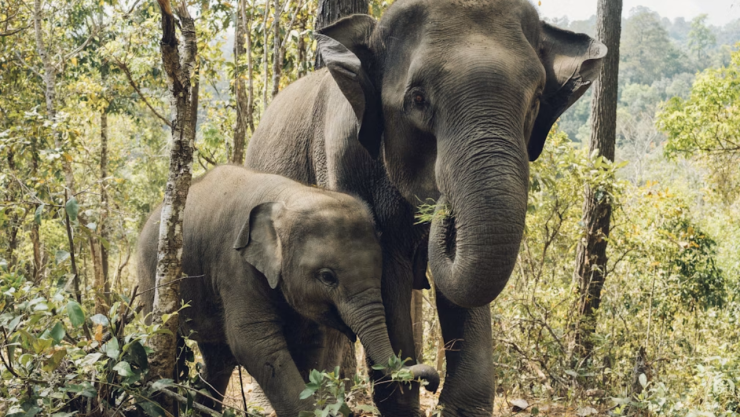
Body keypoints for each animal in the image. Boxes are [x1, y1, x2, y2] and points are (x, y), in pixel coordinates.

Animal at [137, 166, 439, 416]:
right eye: (327, 277)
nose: (432, 383)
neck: (289, 196)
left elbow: (310, 343)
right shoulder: (236, 267)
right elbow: (254, 343)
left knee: (218, 359)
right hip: (152, 278)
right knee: (170, 345)